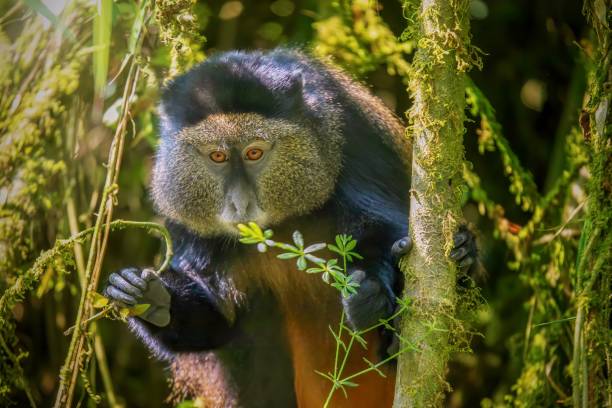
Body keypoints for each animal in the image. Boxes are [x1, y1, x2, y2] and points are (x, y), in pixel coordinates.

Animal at [105, 48, 478, 408]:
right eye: (217, 157)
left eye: (254, 153)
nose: (239, 203)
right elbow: (218, 323)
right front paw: (151, 298)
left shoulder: (350, 133)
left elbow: (383, 228)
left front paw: (369, 296)